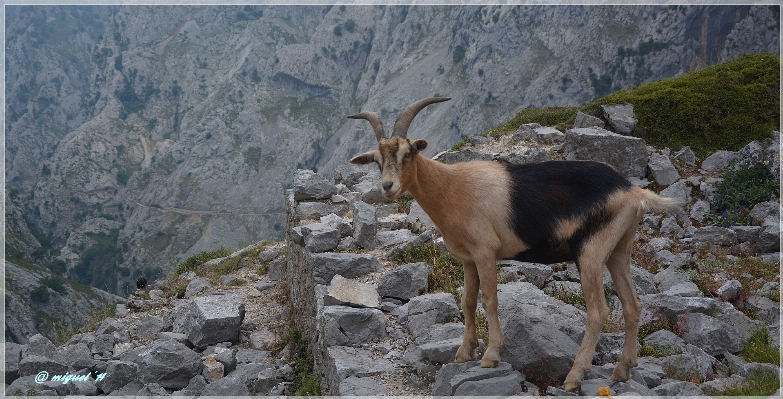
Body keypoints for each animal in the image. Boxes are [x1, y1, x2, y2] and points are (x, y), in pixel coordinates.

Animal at [346, 97, 684, 394]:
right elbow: (467, 301)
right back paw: (622, 370)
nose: (388, 187)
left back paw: (575, 376)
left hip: (590, 251)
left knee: (598, 310)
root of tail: (633, 192)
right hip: (619, 250)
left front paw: (491, 355)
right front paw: (464, 352)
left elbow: (489, 299)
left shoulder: (485, 251)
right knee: (632, 304)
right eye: (377, 160)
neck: (453, 188)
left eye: (407, 154)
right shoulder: (468, 258)